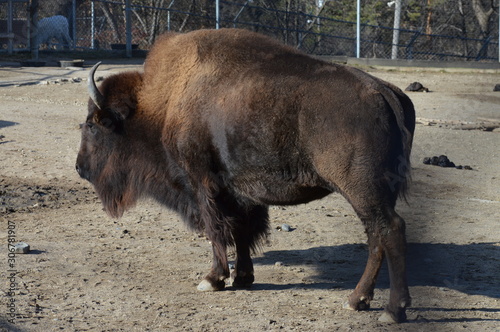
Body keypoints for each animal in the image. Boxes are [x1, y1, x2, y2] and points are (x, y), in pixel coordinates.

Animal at [76, 28, 416, 324]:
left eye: (92, 124)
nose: (80, 167)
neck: (165, 102)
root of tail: (385, 92)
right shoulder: (240, 193)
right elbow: (242, 232)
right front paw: (243, 278)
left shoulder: (202, 184)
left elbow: (216, 230)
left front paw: (212, 279)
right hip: (373, 194)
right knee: (376, 236)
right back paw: (358, 300)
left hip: (362, 190)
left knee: (390, 231)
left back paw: (391, 310)